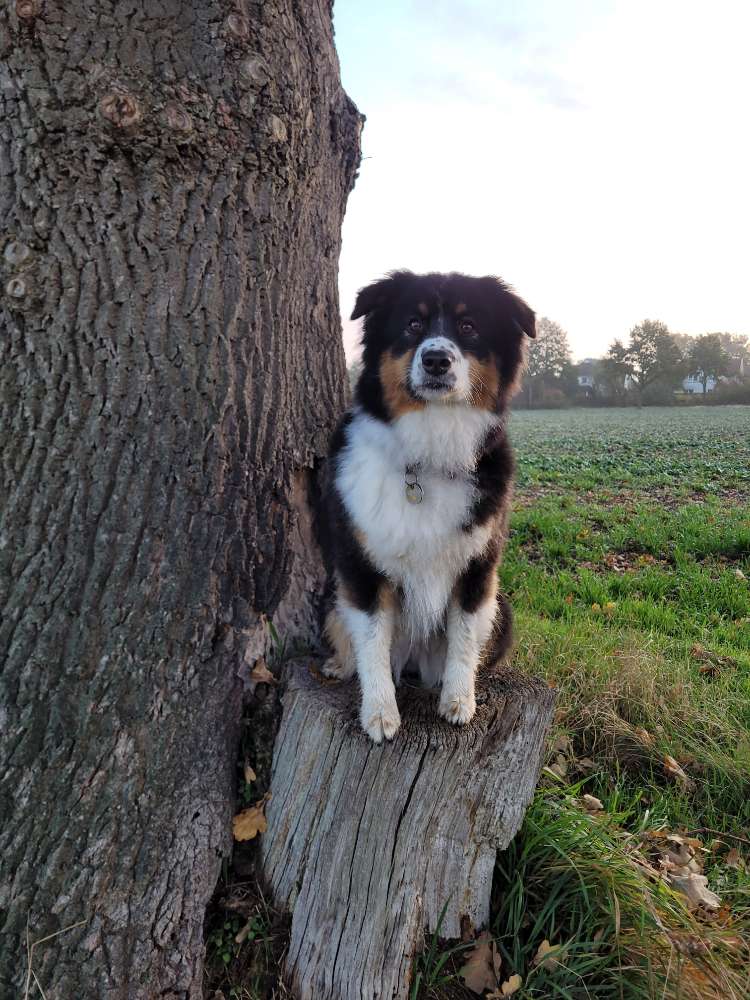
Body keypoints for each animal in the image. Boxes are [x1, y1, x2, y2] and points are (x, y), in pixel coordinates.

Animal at [322, 274, 536, 744]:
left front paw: (458, 702)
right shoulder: (362, 567)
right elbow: (372, 643)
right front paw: (379, 713)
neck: (430, 449)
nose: (437, 359)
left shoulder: (477, 567)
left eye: (469, 326)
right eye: (413, 324)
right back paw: (338, 666)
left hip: (503, 609)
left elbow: (463, 637)